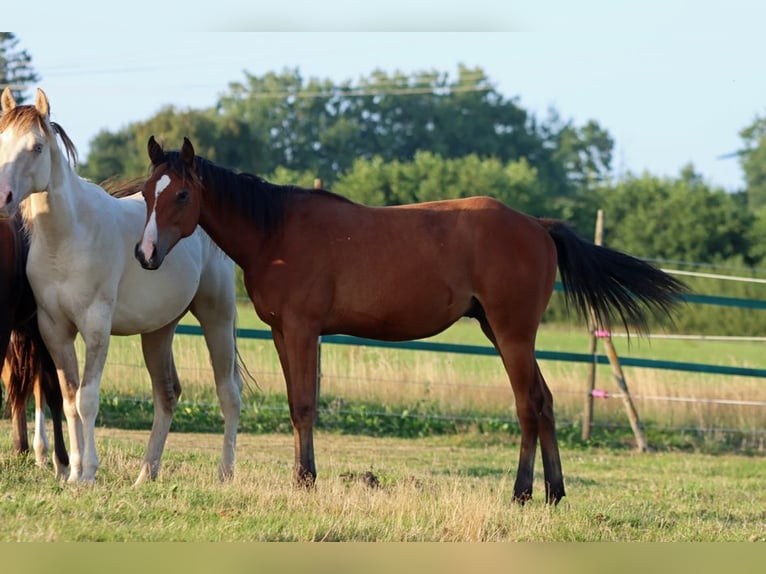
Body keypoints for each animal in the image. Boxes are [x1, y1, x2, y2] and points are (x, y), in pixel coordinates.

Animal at [134, 136, 687, 505]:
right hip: (498, 330)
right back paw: (554, 492)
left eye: (181, 195)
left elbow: (304, 406)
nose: (145, 254)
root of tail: (538, 225)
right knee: (546, 403)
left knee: (529, 405)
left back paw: (522, 492)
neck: (276, 232)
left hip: (513, 335)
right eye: (146, 192)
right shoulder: (281, 332)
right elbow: (296, 406)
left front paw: (305, 481)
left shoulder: (302, 330)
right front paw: (303, 477)